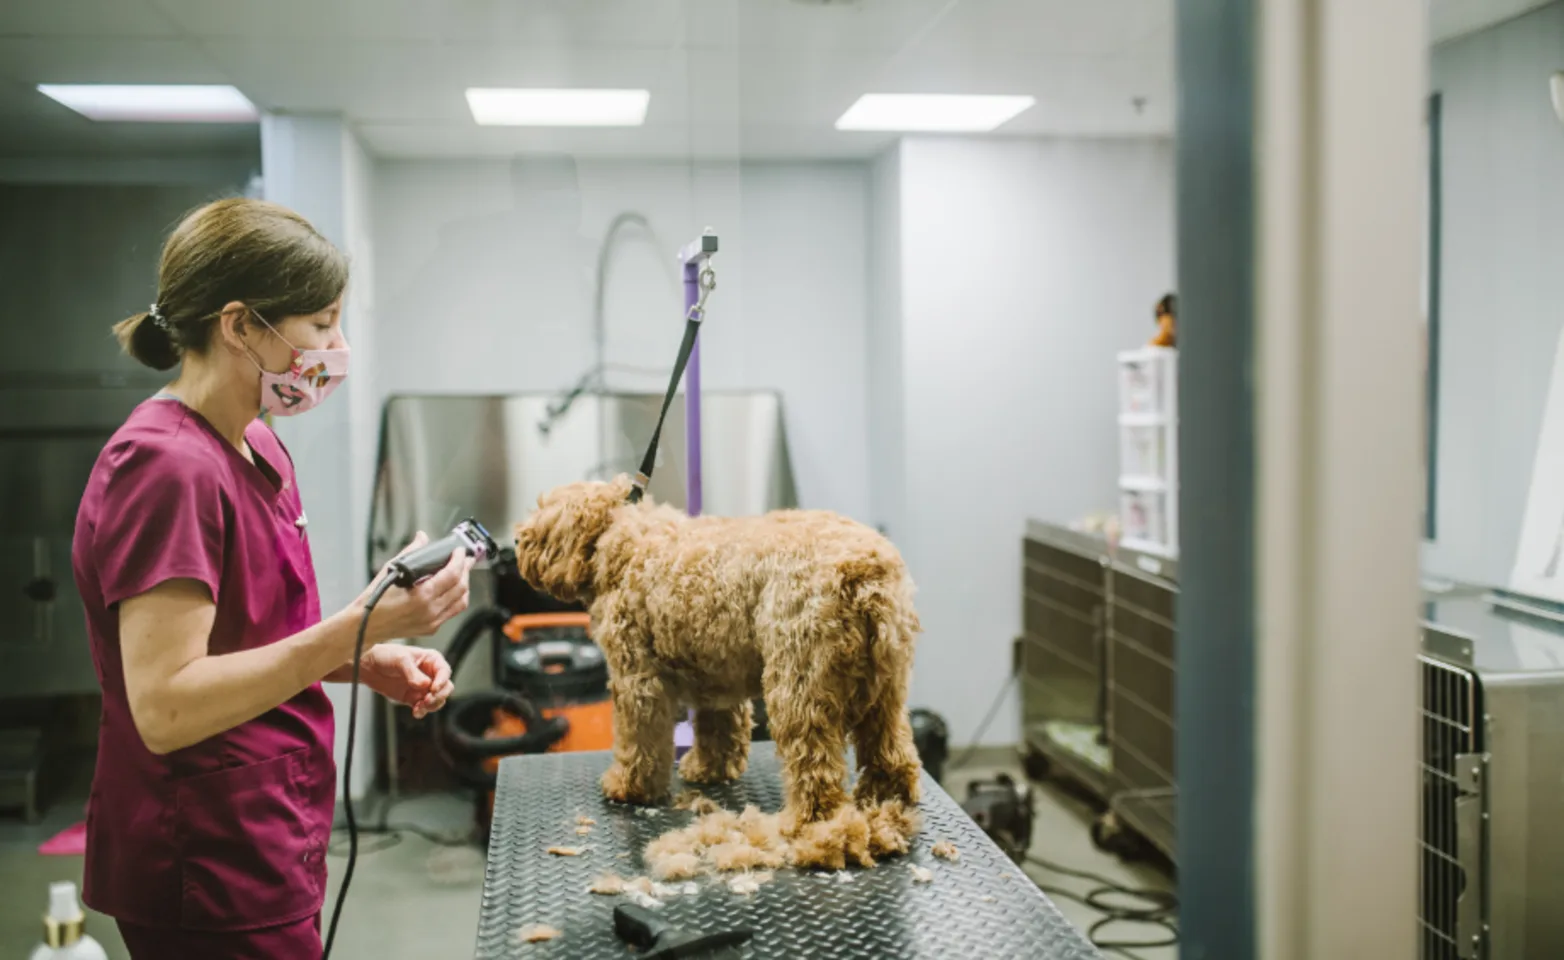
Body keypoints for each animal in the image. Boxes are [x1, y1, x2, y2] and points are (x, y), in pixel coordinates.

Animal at [512, 478, 925, 869]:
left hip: (800, 688)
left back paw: (811, 828)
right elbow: (719, 732)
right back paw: (888, 809)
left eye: (541, 510)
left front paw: (628, 786)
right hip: (887, 691)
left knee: (815, 770)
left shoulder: (637, 680)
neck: (623, 538)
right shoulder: (717, 677)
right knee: (894, 756)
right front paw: (709, 770)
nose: (515, 538)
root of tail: (865, 574)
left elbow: (639, 742)